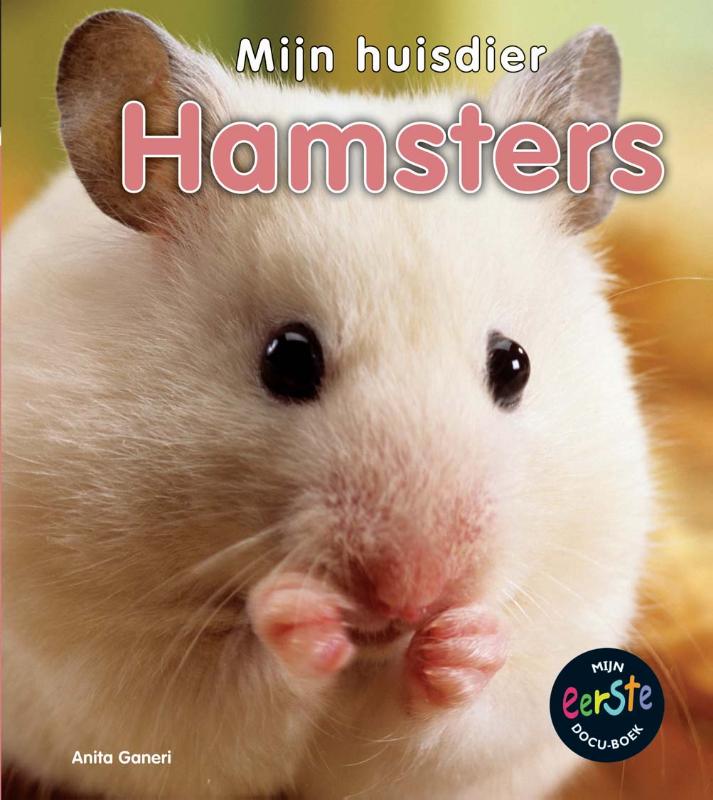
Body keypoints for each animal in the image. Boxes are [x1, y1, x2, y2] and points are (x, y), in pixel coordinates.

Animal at [2, 11, 653, 800]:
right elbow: (229, 693)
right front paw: (296, 615)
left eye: (514, 365)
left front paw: (464, 643)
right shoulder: (109, 666)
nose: (413, 597)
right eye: (286, 358)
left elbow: (462, 719)